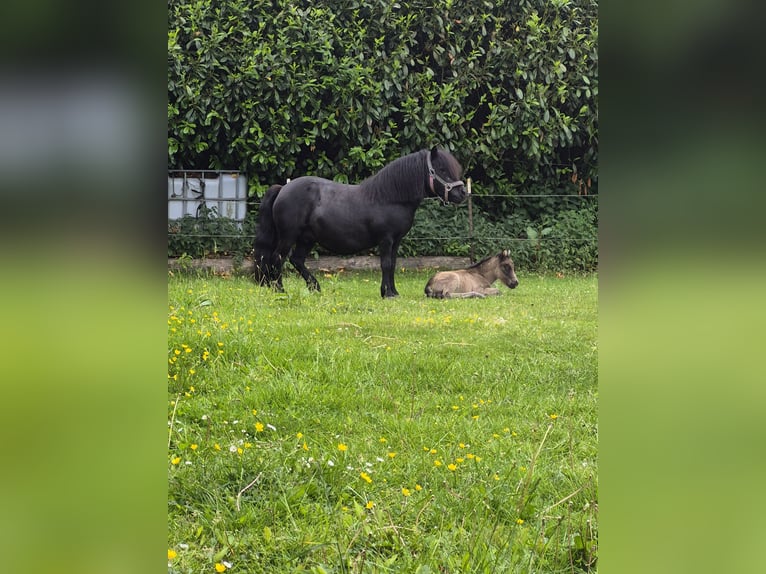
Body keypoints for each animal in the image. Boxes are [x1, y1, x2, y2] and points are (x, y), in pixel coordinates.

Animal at [253, 147, 467, 298]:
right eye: (441, 169)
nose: (462, 193)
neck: (389, 197)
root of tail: (282, 189)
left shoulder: (396, 241)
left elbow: (393, 264)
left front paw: (393, 292)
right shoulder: (386, 239)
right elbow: (386, 264)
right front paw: (387, 294)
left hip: (307, 238)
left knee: (296, 260)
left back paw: (315, 288)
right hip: (288, 236)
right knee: (277, 258)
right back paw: (280, 290)